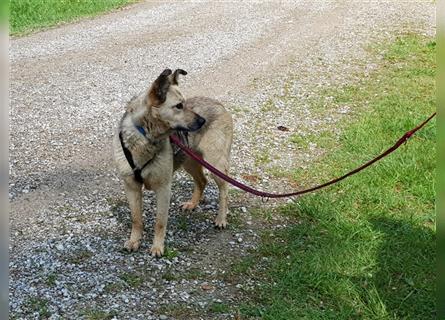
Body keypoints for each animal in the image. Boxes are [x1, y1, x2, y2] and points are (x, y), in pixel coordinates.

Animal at [112, 68, 232, 258]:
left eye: (185, 103)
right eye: (179, 106)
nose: (202, 121)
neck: (145, 135)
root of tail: (219, 104)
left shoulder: (163, 189)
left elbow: (160, 222)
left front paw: (157, 247)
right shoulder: (131, 187)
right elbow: (136, 219)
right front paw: (134, 241)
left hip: (216, 164)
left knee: (224, 190)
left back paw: (221, 219)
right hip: (190, 161)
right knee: (202, 181)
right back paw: (192, 204)